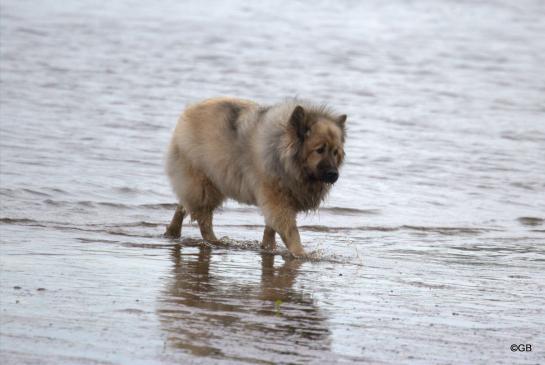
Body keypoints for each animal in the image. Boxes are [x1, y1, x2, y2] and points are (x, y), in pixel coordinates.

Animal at [164, 96, 346, 256]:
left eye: (335, 152)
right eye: (319, 150)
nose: (334, 174)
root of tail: (190, 110)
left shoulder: (277, 201)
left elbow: (270, 229)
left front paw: (268, 248)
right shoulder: (277, 201)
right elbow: (290, 230)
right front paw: (300, 253)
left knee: (184, 206)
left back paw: (173, 232)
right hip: (203, 184)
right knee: (203, 219)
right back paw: (214, 241)